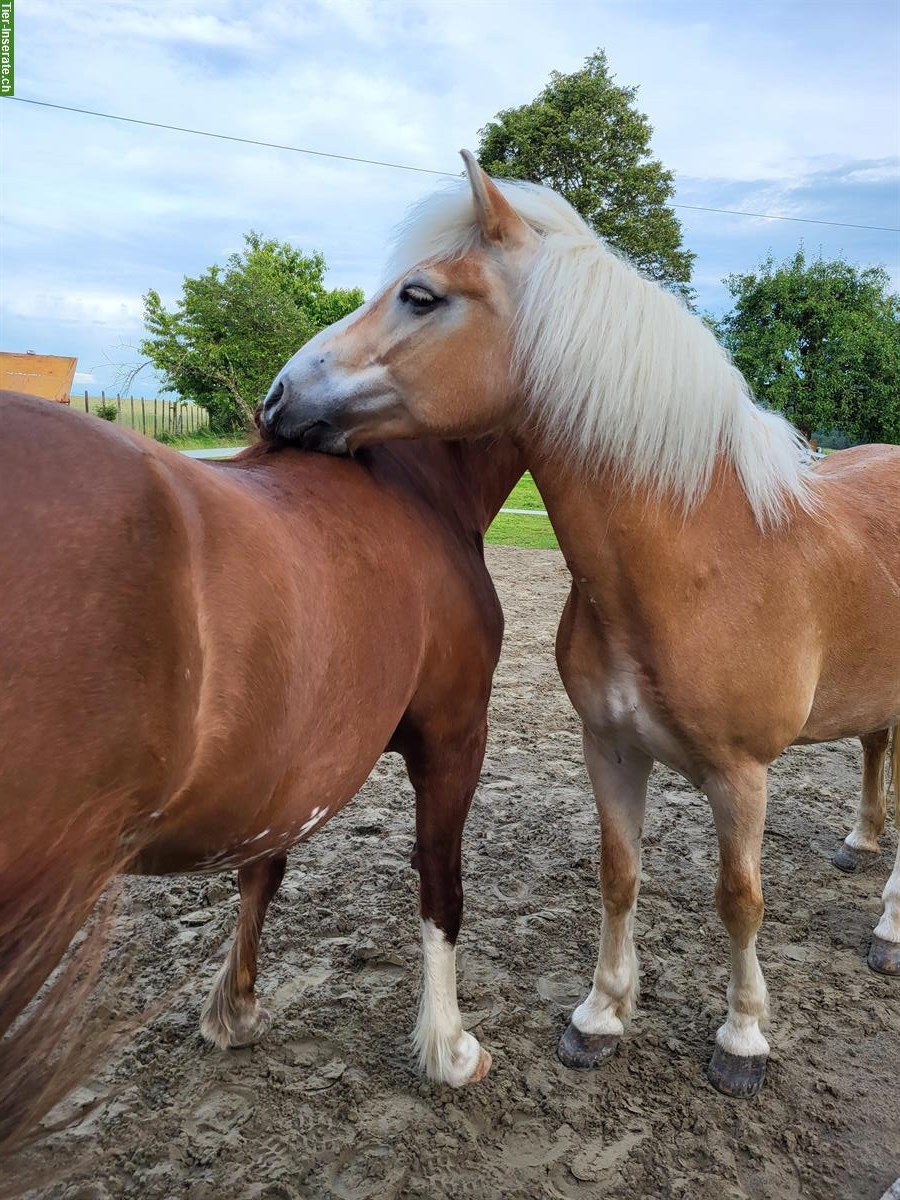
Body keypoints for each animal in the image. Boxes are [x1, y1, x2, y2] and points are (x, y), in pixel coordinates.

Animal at [0, 388, 525, 1147]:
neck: (420, 487)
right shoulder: (453, 737)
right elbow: (440, 886)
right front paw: (448, 1048)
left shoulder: (280, 772)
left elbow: (262, 873)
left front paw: (235, 1009)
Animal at [260, 150, 900, 1099]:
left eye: (420, 295)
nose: (276, 400)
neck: (703, 559)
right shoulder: (612, 747)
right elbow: (619, 875)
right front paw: (600, 1017)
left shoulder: (742, 775)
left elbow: (739, 899)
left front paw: (743, 1038)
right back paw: (862, 848)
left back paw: (890, 928)